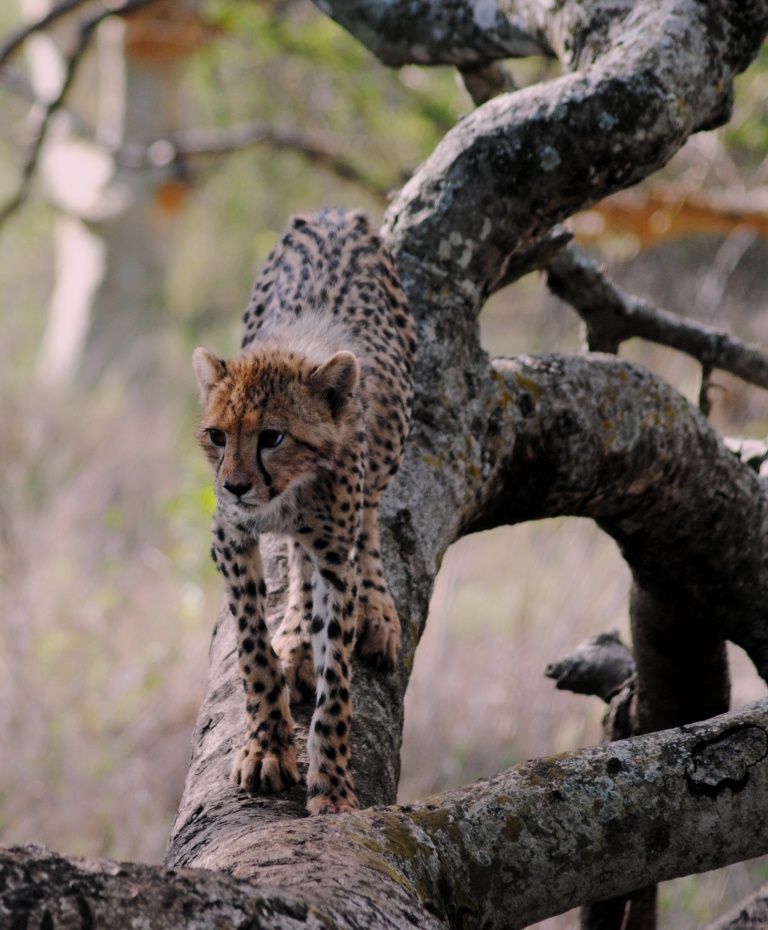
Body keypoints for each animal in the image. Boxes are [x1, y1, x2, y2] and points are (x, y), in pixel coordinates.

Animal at [193, 209, 415, 815]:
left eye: (272, 436)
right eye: (218, 435)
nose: (235, 486)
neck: (286, 492)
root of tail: (337, 211)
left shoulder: (336, 557)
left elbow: (336, 679)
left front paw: (333, 786)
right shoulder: (230, 535)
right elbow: (252, 650)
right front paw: (267, 745)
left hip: (394, 432)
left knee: (370, 518)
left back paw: (377, 611)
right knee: (296, 558)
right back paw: (293, 636)